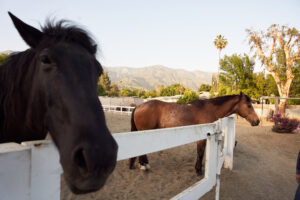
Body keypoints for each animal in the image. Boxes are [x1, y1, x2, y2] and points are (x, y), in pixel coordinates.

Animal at [129, 92, 260, 175]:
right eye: (249, 105)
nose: (257, 121)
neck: (209, 109)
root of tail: (138, 107)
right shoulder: (202, 137)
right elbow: (200, 153)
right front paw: (199, 171)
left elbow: (200, 153)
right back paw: (144, 165)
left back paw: (144, 164)